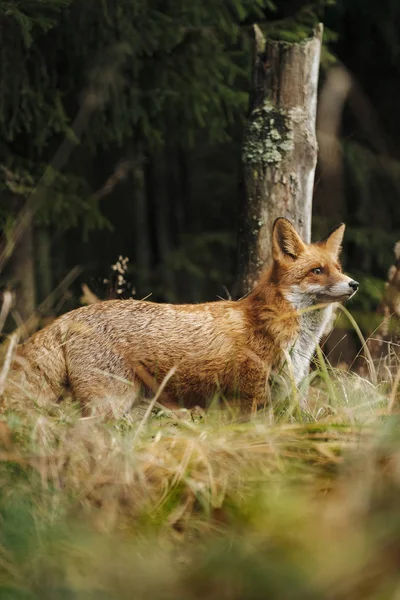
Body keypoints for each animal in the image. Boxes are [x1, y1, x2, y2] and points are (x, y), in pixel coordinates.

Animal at [3, 219, 360, 412]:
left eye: (338, 268)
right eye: (317, 271)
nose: (354, 284)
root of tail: (69, 317)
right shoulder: (249, 399)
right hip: (110, 404)